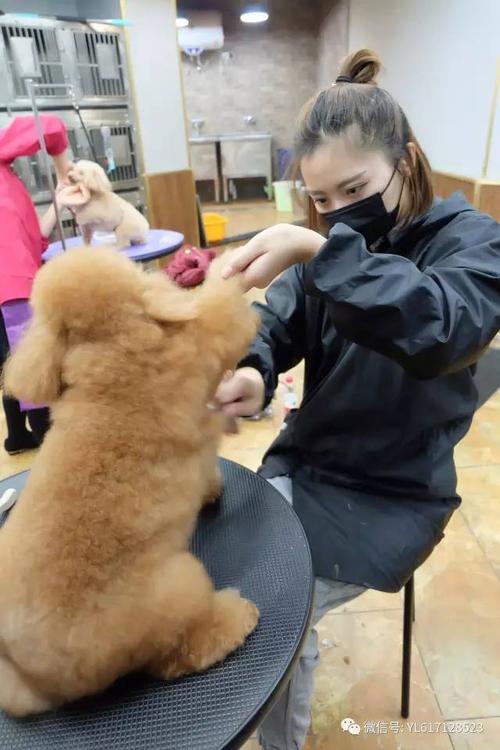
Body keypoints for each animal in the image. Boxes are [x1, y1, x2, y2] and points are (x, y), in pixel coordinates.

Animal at [0, 247, 260, 716]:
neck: (108, 346)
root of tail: (35, 680)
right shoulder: (204, 345)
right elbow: (222, 307)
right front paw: (227, 265)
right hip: (180, 585)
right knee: (179, 654)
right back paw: (236, 616)